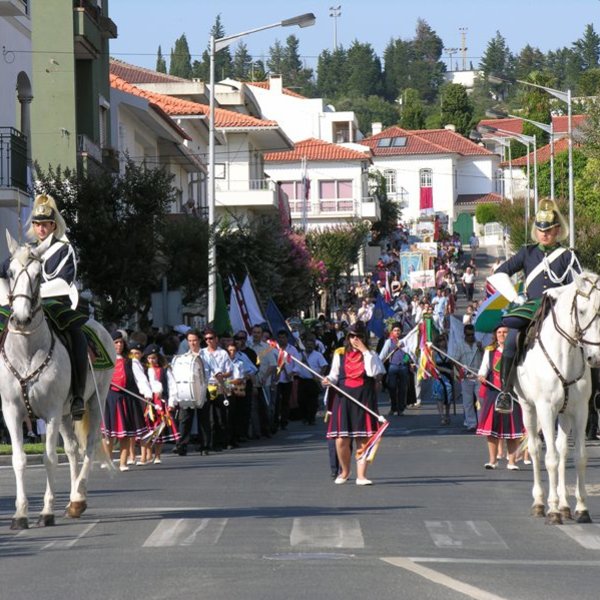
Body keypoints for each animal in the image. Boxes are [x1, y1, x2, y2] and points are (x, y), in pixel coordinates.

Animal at [0, 232, 115, 528]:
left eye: (38, 275)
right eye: (10, 272)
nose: (20, 317)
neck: (27, 351)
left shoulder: (50, 412)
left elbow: (50, 458)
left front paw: (46, 512)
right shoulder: (12, 411)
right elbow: (19, 459)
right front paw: (20, 514)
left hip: (95, 401)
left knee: (89, 446)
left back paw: (77, 497)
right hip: (66, 413)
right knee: (73, 450)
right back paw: (74, 503)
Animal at [512, 270, 600, 524]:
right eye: (582, 311)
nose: (594, 357)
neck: (566, 353)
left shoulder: (580, 410)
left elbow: (579, 457)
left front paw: (581, 508)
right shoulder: (546, 408)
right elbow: (549, 458)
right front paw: (551, 510)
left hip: (565, 413)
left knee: (562, 450)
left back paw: (564, 505)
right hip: (528, 408)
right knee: (535, 448)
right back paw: (541, 503)